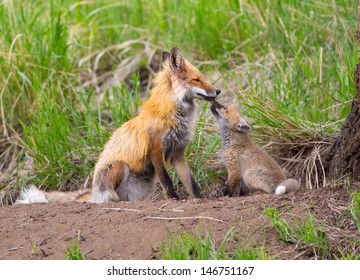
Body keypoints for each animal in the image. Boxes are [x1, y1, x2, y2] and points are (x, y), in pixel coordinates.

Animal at [14, 46, 219, 203]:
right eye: (197, 79)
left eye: (203, 77)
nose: (218, 91)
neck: (173, 114)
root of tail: (94, 192)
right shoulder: (156, 151)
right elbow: (167, 181)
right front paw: (174, 200)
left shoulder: (178, 152)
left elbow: (191, 182)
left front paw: (200, 200)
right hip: (119, 165)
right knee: (109, 198)